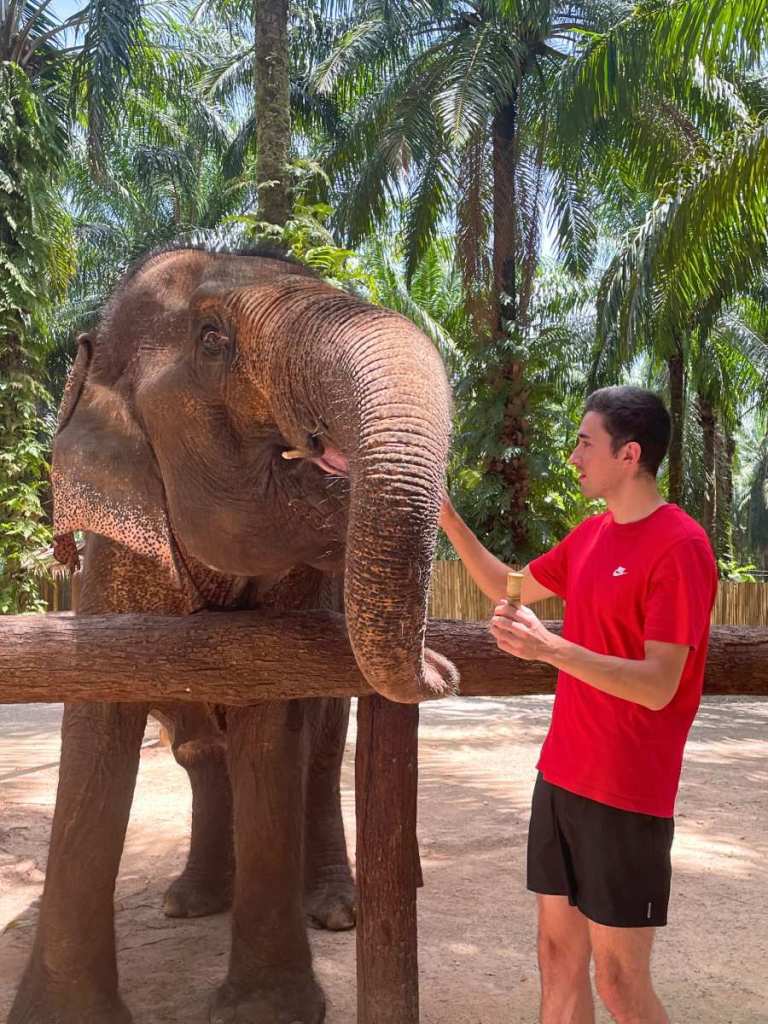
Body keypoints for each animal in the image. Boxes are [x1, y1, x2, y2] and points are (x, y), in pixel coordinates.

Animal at [10, 244, 457, 1024]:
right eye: (213, 340)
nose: (444, 669)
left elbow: (273, 727)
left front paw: (264, 1012)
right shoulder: (111, 564)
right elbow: (95, 724)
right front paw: (58, 1013)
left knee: (320, 749)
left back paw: (336, 910)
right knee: (197, 751)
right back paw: (191, 902)